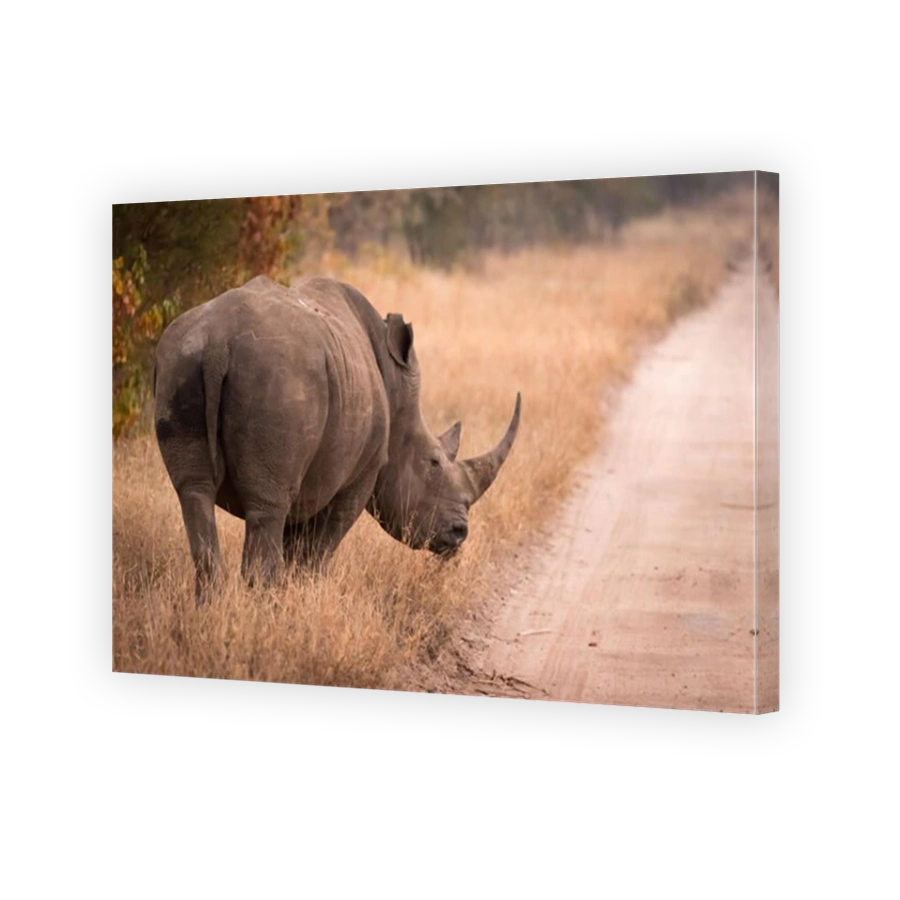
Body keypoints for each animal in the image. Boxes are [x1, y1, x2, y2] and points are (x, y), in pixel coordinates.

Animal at [153, 275, 521, 602]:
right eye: (433, 462)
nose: (460, 532)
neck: (397, 391)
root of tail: (219, 341)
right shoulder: (360, 475)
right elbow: (322, 547)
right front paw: (304, 598)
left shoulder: (311, 477)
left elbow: (296, 544)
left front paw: (293, 598)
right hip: (279, 377)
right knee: (267, 507)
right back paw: (259, 608)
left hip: (181, 360)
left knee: (194, 492)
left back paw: (212, 606)